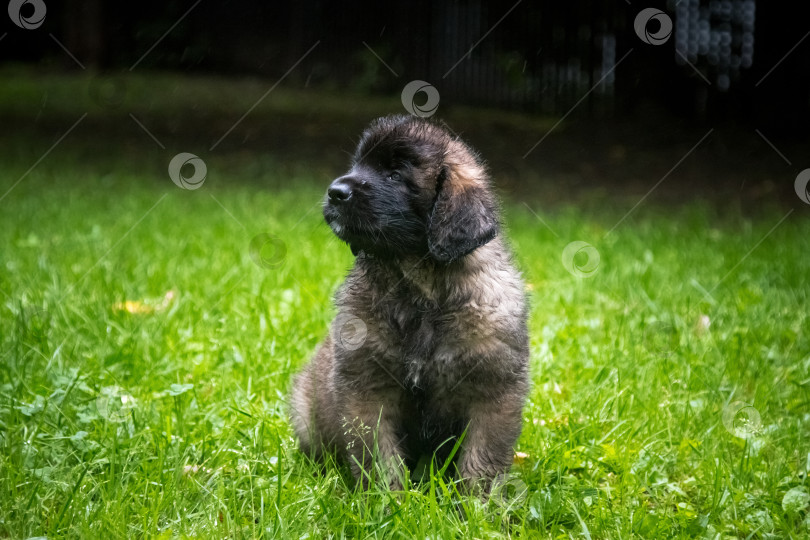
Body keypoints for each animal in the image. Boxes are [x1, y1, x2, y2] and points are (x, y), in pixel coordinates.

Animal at [290, 115, 532, 494]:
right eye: (357, 165)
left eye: (395, 174)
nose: (335, 191)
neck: (418, 290)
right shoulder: (367, 388)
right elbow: (380, 458)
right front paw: (386, 502)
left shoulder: (494, 391)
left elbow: (481, 461)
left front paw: (477, 506)